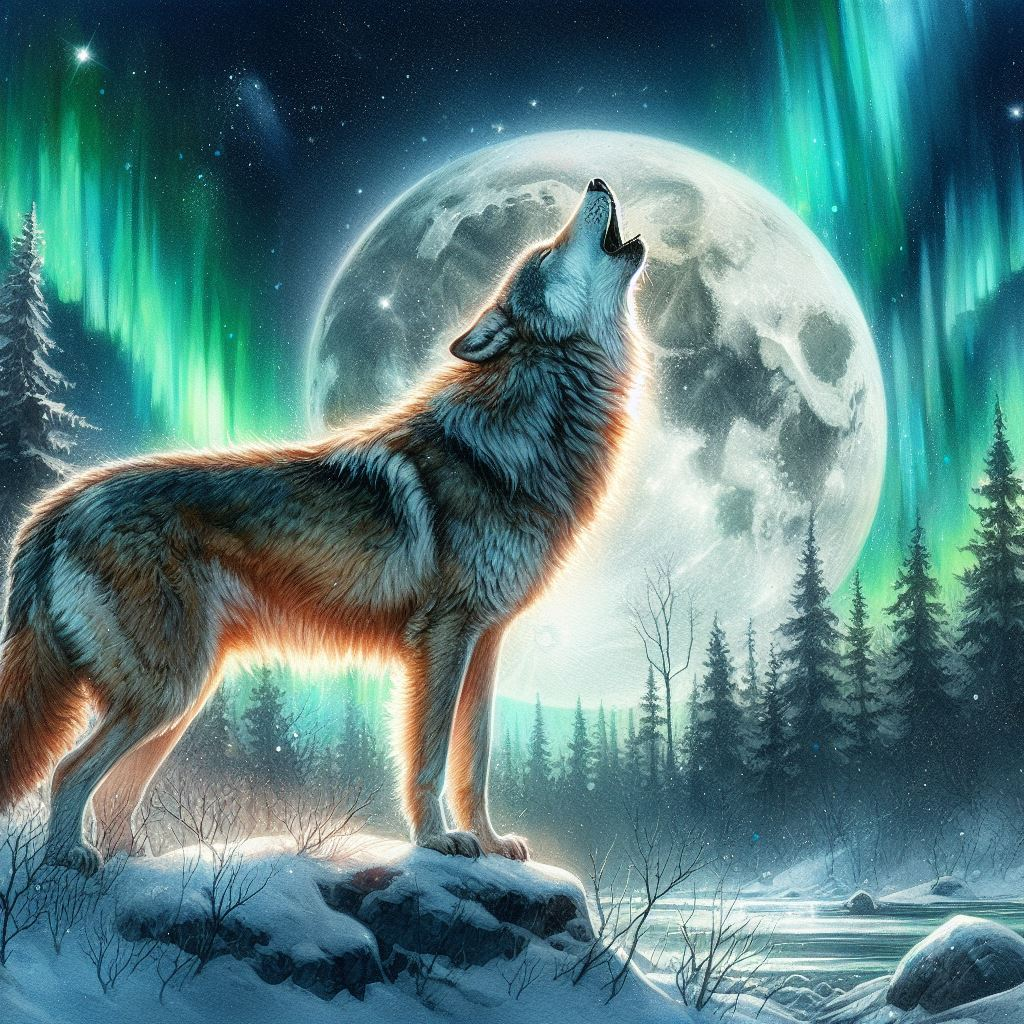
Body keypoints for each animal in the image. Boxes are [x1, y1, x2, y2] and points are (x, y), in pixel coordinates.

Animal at [0, 179, 646, 874]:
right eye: (547, 251)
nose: (597, 182)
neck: (518, 435)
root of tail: (56, 506)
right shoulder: (443, 637)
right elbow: (428, 758)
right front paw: (437, 841)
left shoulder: (485, 640)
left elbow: (473, 763)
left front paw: (493, 843)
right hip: (165, 693)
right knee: (69, 773)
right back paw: (70, 859)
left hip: (179, 697)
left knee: (114, 792)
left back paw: (142, 866)